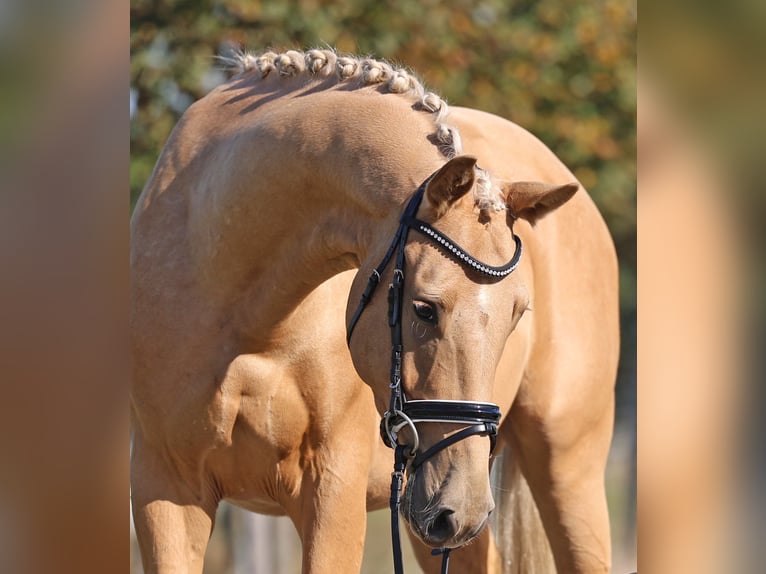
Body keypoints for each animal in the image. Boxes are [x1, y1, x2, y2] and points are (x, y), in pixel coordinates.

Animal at [130, 49, 619, 574]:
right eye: (423, 309)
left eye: (517, 316)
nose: (464, 510)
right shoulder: (166, 487)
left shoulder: (332, 487)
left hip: (559, 468)